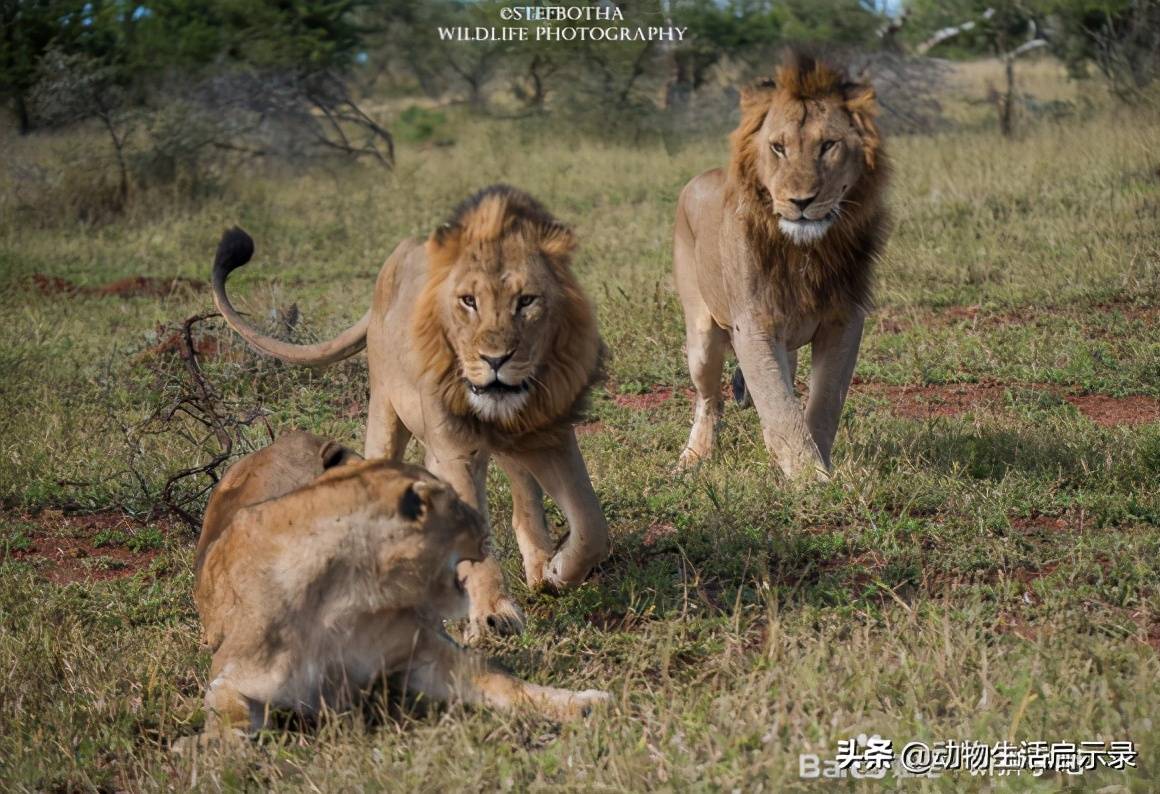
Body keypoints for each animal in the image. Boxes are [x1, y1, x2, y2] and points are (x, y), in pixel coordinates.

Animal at [185, 427, 612, 742]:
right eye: (456, 505)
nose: (483, 524)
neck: (348, 600)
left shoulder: (421, 653)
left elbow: (502, 683)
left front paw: (583, 704)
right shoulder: (232, 676)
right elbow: (230, 716)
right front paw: (222, 755)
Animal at [211, 188, 607, 645]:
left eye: (526, 301)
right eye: (468, 302)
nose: (495, 360)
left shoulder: (549, 435)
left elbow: (591, 523)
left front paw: (557, 570)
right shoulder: (457, 450)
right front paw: (493, 614)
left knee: (520, 492)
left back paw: (536, 566)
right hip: (385, 408)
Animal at [672, 54, 886, 482]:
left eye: (828, 145)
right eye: (778, 148)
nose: (801, 202)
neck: (804, 252)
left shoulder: (845, 320)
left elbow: (823, 402)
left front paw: (817, 468)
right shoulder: (753, 325)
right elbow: (780, 408)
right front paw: (810, 480)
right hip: (701, 335)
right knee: (709, 399)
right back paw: (693, 457)